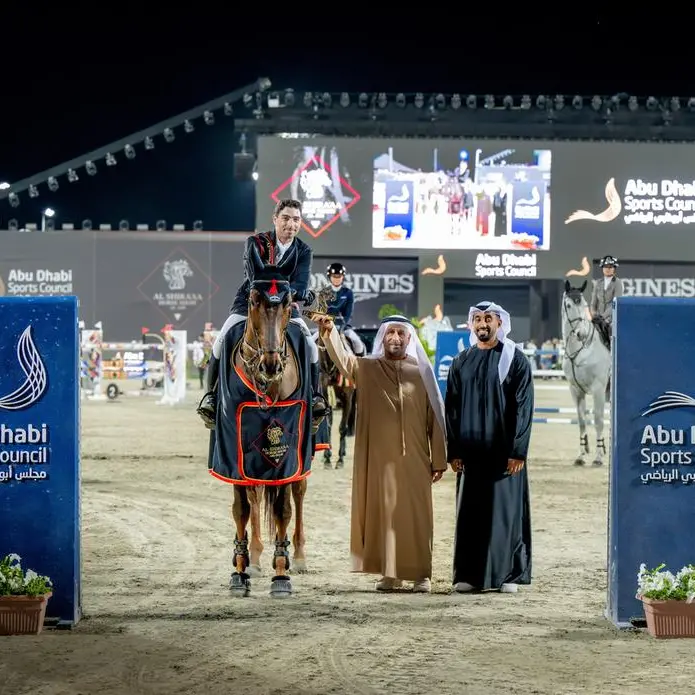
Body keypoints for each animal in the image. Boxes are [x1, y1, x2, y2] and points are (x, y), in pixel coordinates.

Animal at [564, 278, 612, 468]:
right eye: (568, 305)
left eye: (584, 304)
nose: (581, 333)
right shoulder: (576, 390)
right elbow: (582, 421)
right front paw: (581, 455)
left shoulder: (598, 389)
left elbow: (598, 421)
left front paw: (598, 457)